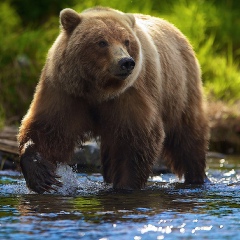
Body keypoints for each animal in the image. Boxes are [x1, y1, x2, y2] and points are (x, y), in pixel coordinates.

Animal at [17, 6, 209, 193]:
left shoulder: (129, 94)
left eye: (126, 41)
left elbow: (135, 139)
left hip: (180, 90)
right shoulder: (66, 91)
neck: (97, 90)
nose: (126, 62)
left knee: (187, 136)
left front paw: (126, 185)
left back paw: (196, 177)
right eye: (102, 42)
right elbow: (49, 128)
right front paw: (41, 174)